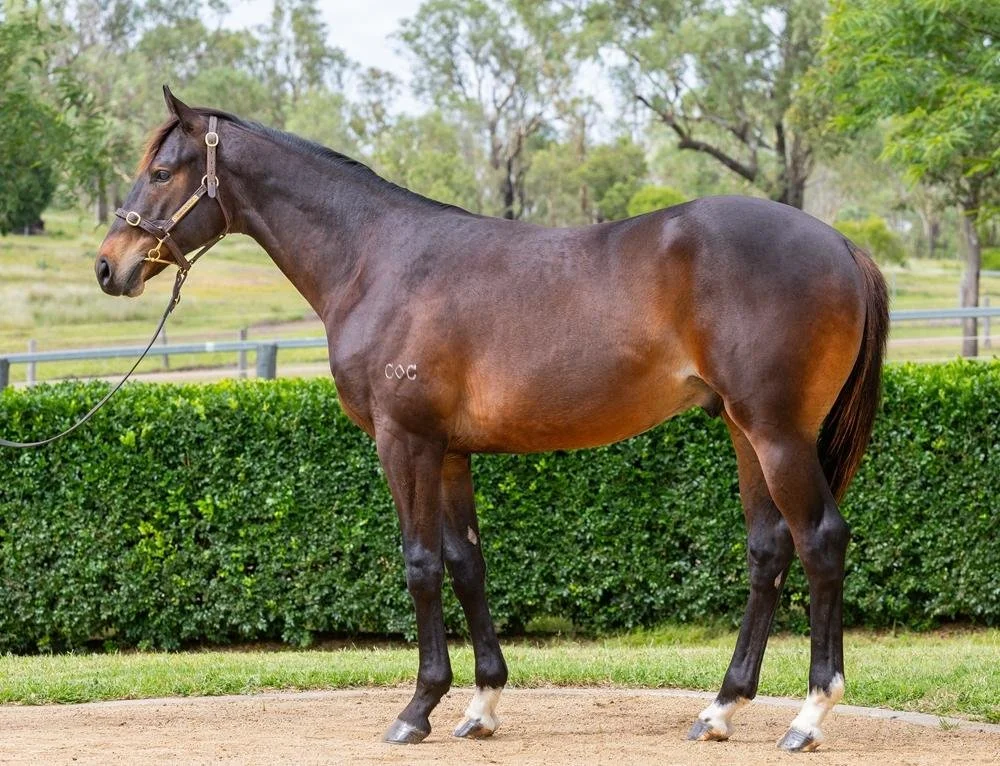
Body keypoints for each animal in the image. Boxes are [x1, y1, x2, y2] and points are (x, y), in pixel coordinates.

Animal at [96, 87, 888, 752]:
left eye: (162, 171)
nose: (109, 267)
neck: (375, 260)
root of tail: (840, 242)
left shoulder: (405, 441)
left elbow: (420, 564)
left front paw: (418, 708)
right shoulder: (449, 451)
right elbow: (466, 563)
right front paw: (481, 705)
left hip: (777, 433)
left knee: (820, 541)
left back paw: (808, 716)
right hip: (744, 431)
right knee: (769, 550)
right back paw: (720, 709)